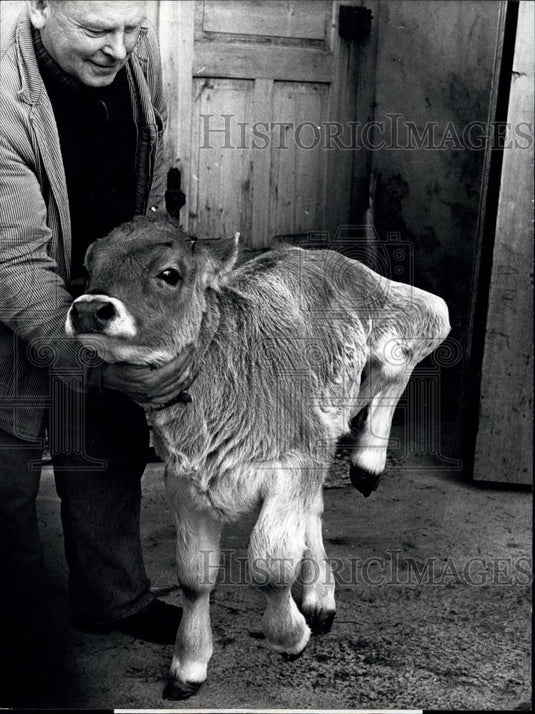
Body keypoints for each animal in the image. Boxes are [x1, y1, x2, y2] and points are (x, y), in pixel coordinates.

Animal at [65, 215, 450, 700]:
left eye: (170, 274)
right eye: (90, 265)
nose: (88, 308)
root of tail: (307, 252)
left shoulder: (290, 463)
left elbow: (269, 565)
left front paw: (290, 636)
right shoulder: (185, 483)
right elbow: (194, 578)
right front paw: (189, 664)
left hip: (386, 303)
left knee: (425, 326)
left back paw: (368, 462)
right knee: (313, 507)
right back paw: (319, 597)